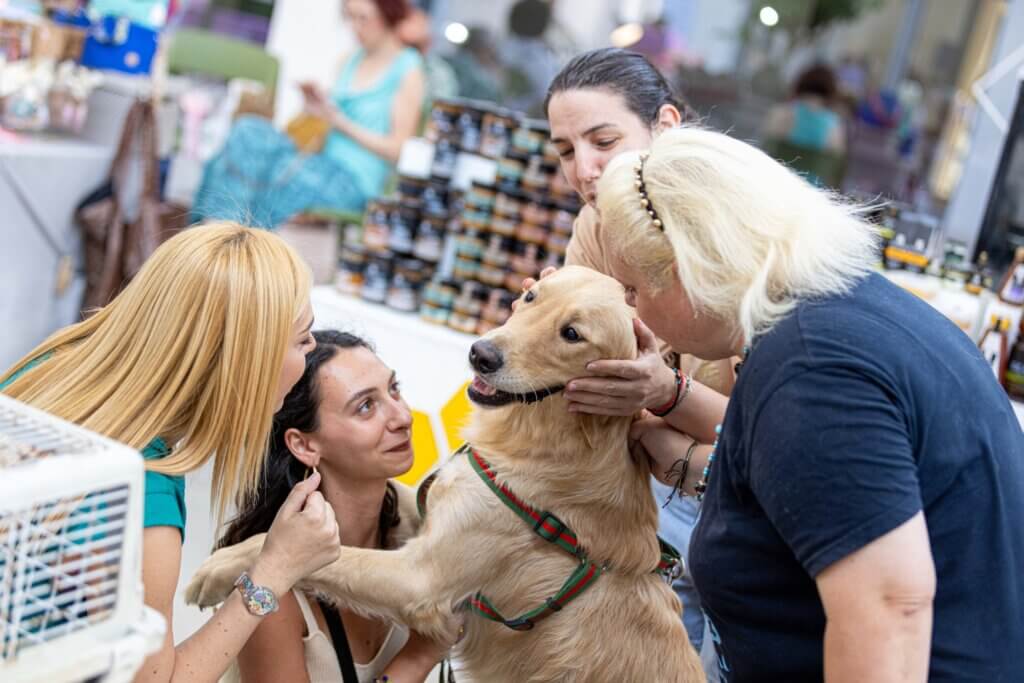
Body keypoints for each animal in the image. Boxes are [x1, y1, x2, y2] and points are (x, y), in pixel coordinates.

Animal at [186, 266, 704, 683]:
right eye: (531, 297)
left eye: (572, 333)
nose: (480, 354)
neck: (552, 442)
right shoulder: (432, 513)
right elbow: (402, 496)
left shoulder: (421, 578)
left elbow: (330, 557)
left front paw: (220, 567)